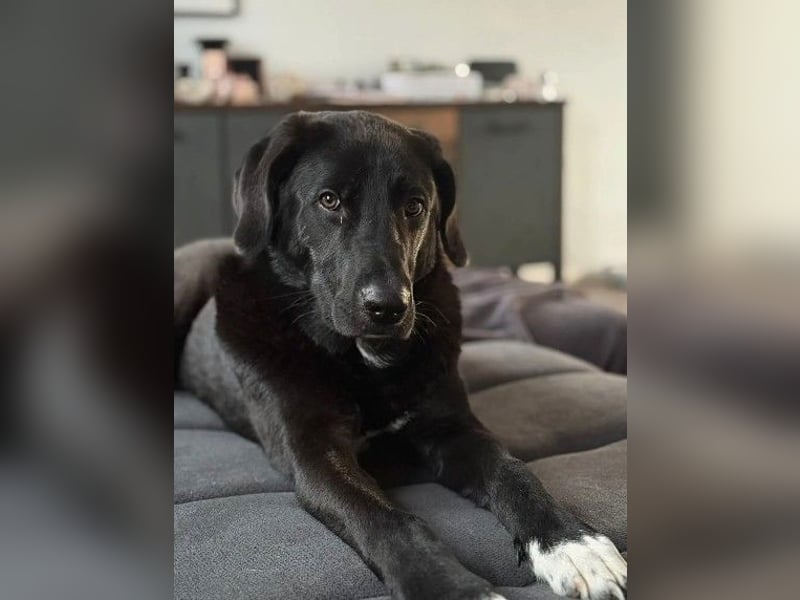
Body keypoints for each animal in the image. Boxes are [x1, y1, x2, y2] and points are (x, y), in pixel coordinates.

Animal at [176, 111, 627, 599]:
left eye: (415, 206)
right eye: (329, 200)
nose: (388, 308)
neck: (361, 361)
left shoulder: (452, 429)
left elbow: (513, 471)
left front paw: (570, 541)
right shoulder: (312, 452)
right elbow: (386, 520)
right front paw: (451, 588)